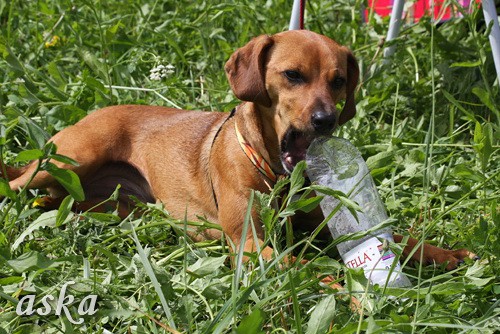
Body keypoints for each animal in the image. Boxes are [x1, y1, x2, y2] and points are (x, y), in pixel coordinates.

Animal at [2, 30, 472, 272]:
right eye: (292, 75)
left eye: (339, 80)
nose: (327, 120)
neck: (278, 176)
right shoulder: (252, 243)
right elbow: (299, 266)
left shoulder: (321, 224)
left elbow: (401, 238)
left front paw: (443, 253)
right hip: (71, 158)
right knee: (19, 183)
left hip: (116, 205)